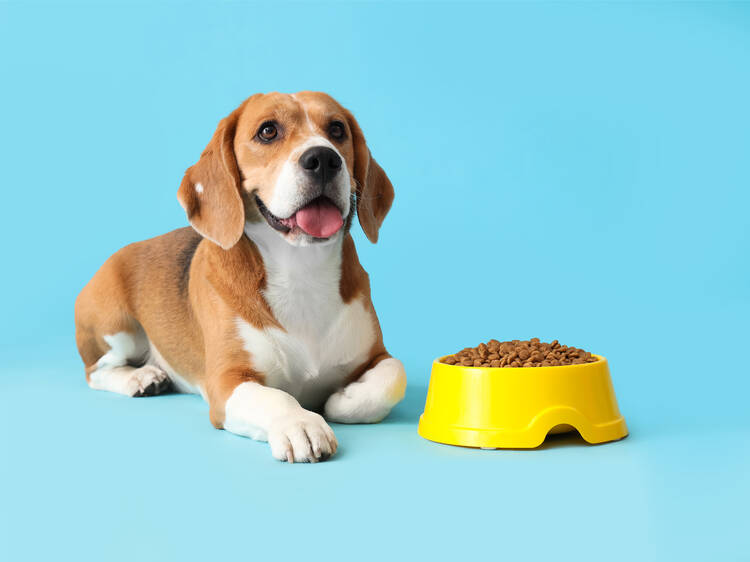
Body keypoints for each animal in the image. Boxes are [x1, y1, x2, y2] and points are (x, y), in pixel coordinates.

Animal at [73, 91, 408, 460]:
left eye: (337, 129)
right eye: (268, 131)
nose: (323, 158)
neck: (300, 271)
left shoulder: (377, 355)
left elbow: (394, 375)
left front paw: (342, 399)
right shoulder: (228, 382)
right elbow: (277, 397)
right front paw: (301, 424)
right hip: (116, 328)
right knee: (96, 371)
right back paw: (140, 378)